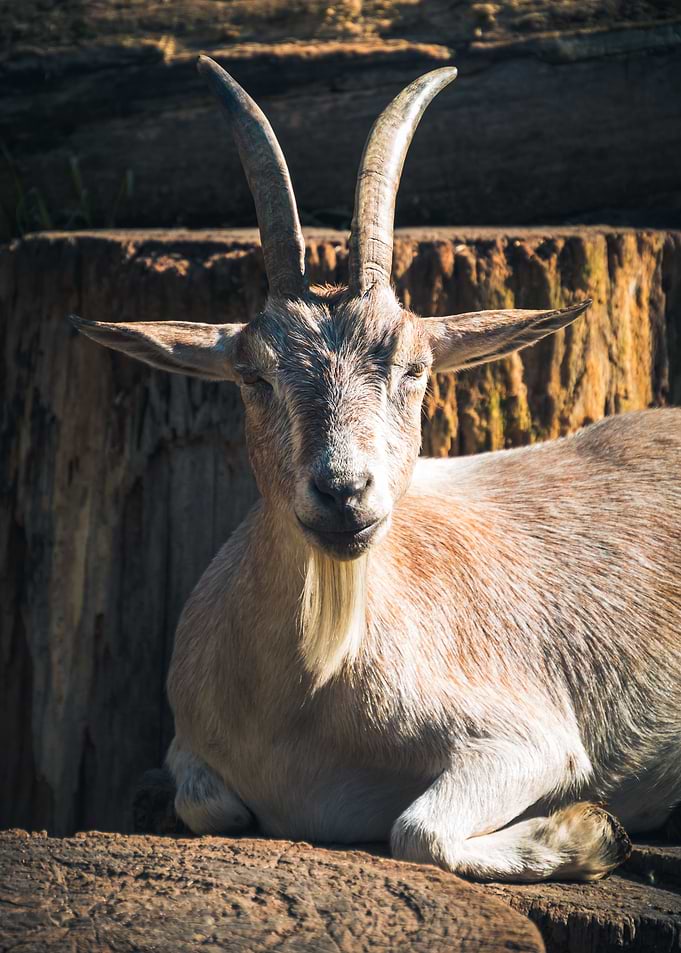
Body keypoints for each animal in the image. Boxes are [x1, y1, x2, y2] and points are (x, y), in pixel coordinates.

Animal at [72, 56, 681, 882]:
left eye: (415, 367)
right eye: (253, 375)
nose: (343, 492)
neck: (313, 694)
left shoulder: (527, 738)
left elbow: (415, 829)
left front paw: (592, 830)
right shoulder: (193, 751)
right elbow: (207, 803)